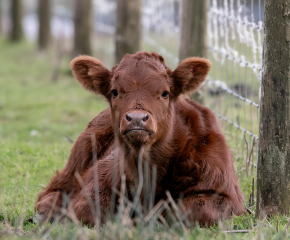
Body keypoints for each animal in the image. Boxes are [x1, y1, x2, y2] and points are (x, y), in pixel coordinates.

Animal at [34, 52, 245, 227]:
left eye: (165, 93)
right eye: (115, 92)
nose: (136, 118)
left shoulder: (226, 195)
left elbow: (191, 211)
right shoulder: (98, 181)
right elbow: (90, 210)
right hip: (79, 155)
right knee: (51, 191)